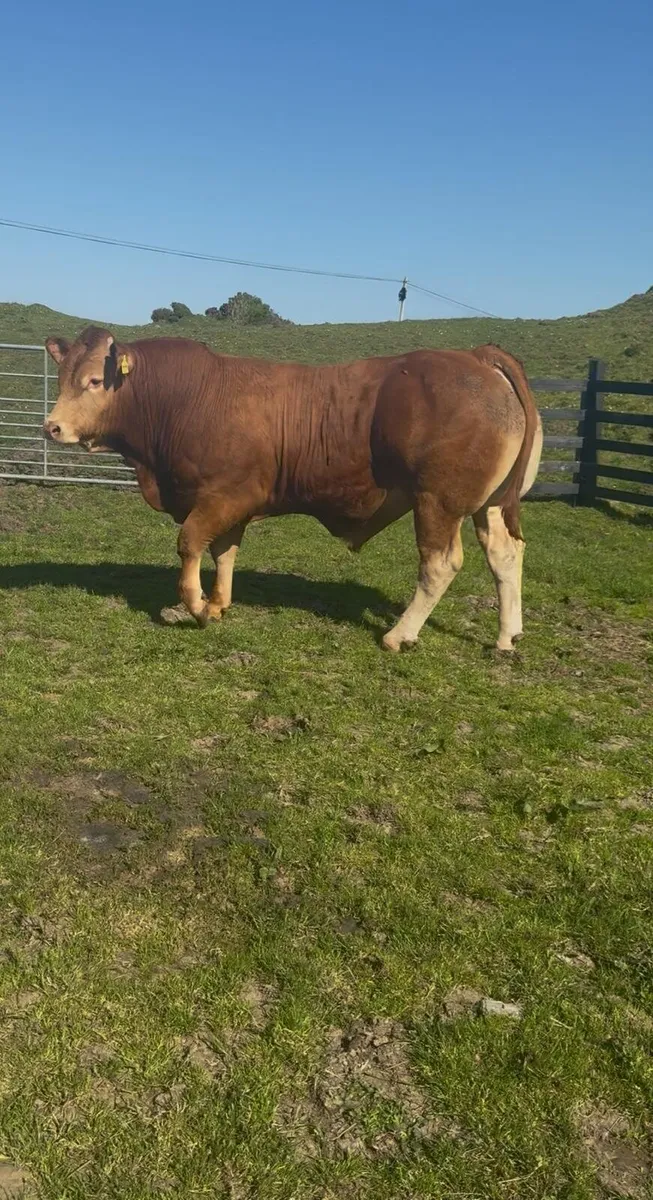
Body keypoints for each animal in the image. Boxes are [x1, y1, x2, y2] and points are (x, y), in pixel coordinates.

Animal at [44, 328, 542, 652]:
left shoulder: (222, 496)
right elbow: (224, 551)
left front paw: (198, 607)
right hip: (489, 504)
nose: (53, 427)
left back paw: (399, 635)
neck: (185, 398)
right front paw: (219, 603)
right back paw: (506, 636)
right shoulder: (232, 503)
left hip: (437, 502)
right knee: (504, 554)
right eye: (62, 377)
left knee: (440, 565)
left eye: (94, 380)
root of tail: (475, 356)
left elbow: (190, 544)